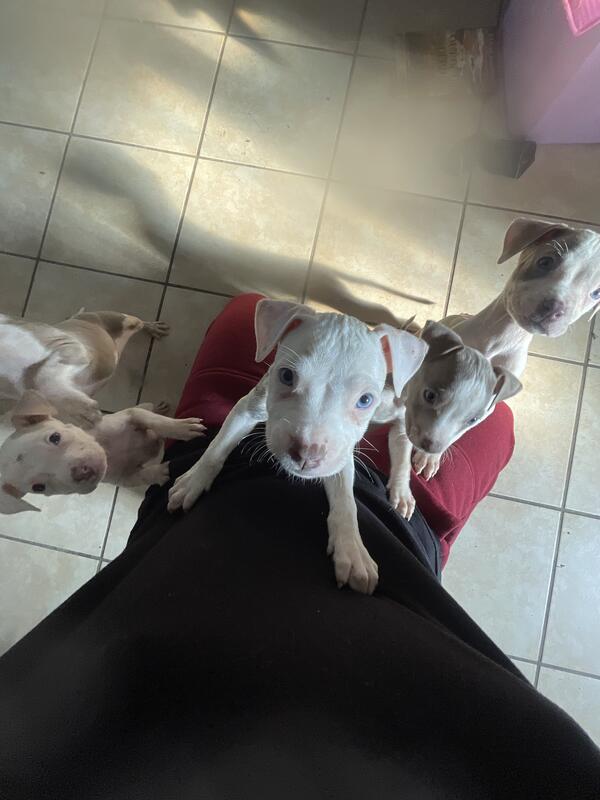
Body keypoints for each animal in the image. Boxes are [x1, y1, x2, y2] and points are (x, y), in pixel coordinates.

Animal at [0, 391, 205, 514]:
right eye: (38, 487)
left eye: (55, 437)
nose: (81, 472)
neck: (110, 450)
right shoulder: (124, 478)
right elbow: (142, 475)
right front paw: (161, 473)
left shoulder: (131, 416)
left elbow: (155, 421)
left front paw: (182, 428)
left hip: (141, 407)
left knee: (149, 409)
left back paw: (160, 409)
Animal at [166, 299, 428, 595]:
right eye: (287, 376)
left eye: (364, 400)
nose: (306, 454)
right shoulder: (248, 408)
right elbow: (217, 448)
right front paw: (194, 481)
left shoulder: (341, 452)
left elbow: (346, 499)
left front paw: (351, 549)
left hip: (388, 405)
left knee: (402, 428)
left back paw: (402, 487)